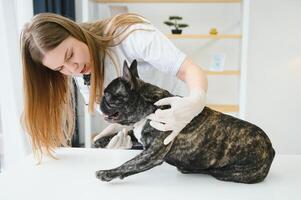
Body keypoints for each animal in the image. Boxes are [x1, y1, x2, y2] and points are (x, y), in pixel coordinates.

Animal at [94, 59, 274, 184]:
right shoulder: (142, 139)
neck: (150, 107)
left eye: (107, 95)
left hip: (227, 172)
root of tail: (270, 149)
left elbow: (129, 164)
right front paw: (102, 140)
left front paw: (107, 173)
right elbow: (128, 135)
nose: (99, 100)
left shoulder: (152, 154)